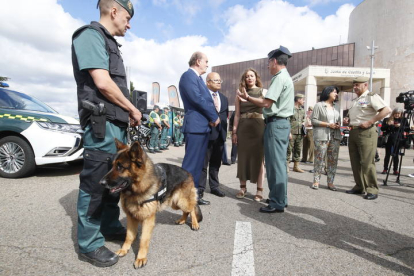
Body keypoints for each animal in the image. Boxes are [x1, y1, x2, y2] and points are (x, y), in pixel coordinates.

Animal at [101, 139, 203, 268]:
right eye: (113, 165)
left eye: (120, 167)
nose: (101, 182)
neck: (138, 189)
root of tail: (188, 173)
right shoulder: (131, 217)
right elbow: (129, 236)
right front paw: (124, 249)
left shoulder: (148, 220)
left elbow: (144, 240)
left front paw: (141, 258)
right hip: (174, 203)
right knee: (186, 211)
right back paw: (182, 220)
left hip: (182, 201)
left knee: (192, 208)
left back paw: (194, 224)